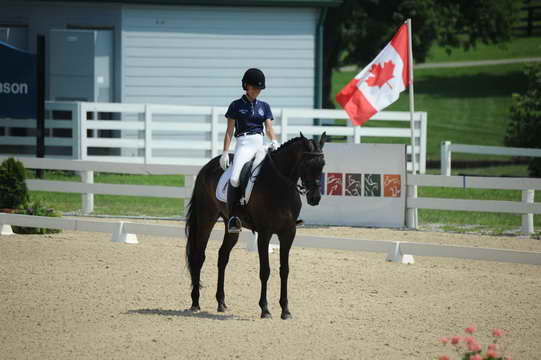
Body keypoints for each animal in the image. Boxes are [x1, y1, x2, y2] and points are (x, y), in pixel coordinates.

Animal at [184, 131, 326, 318]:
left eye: (322, 164)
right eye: (307, 164)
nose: (315, 198)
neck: (280, 185)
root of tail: (207, 166)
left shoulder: (288, 233)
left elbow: (285, 270)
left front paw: (285, 310)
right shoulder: (265, 233)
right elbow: (265, 270)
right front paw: (265, 309)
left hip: (231, 227)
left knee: (222, 257)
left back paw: (221, 302)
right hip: (205, 219)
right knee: (198, 256)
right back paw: (195, 303)